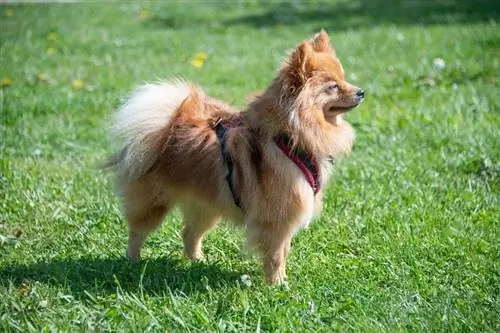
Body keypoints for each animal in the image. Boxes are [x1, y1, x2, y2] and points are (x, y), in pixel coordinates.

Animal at [108, 31, 364, 284]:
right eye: (333, 86)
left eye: (344, 79)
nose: (361, 92)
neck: (291, 134)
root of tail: (169, 124)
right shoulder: (277, 218)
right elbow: (276, 255)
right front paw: (277, 284)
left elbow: (284, 251)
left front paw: (280, 280)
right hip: (154, 202)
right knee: (137, 231)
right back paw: (133, 261)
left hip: (206, 204)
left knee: (189, 233)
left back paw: (197, 262)